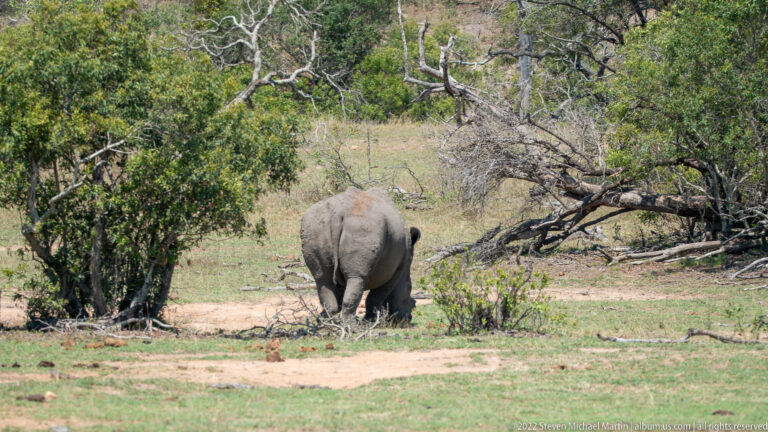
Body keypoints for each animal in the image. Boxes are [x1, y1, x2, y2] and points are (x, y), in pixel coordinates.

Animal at [300, 187, 421, 322]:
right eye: (410, 287)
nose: (408, 318)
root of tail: (338, 212)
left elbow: (340, 294)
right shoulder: (398, 269)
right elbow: (377, 296)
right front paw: (371, 321)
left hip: (314, 225)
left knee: (322, 279)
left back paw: (325, 322)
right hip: (365, 227)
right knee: (357, 277)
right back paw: (352, 324)